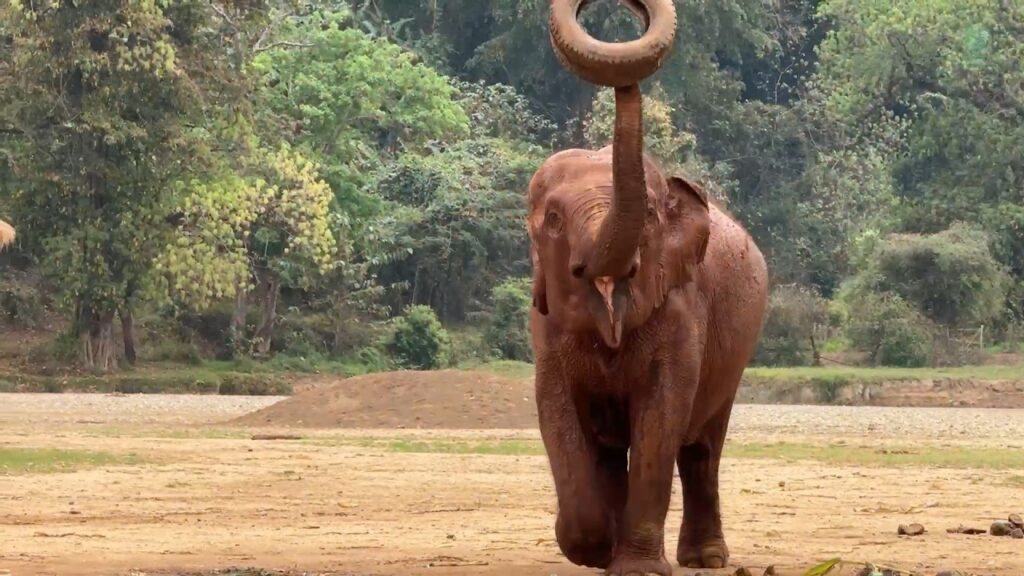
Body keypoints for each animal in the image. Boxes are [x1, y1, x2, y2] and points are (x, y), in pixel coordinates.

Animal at [528, 1, 769, 574]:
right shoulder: (545, 328)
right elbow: (556, 412)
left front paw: (632, 565)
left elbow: (661, 419)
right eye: (553, 220)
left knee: (702, 448)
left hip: (735, 355)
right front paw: (591, 547)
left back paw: (705, 558)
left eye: (654, 216)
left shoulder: (683, 312)